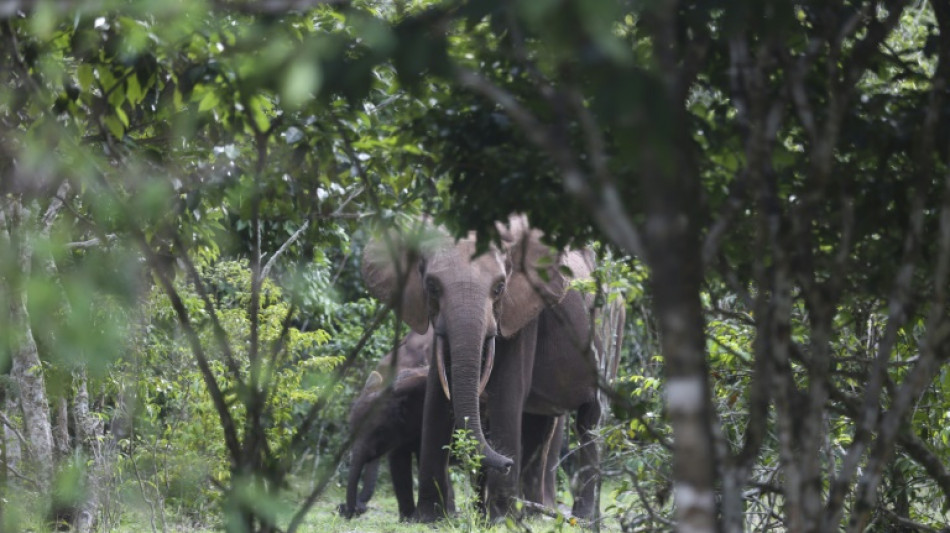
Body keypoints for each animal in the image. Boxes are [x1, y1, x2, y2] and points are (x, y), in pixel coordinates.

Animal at [364, 213, 616, 520]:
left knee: (589, 419)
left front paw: (499, 519)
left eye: (499, 288)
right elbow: (437, 396)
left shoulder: (523, 312)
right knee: (539, 424)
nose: (506, 462)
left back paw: (581, 518)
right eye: (432, 286)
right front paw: (429, 519)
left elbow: (506, 393)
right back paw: (533, 513)